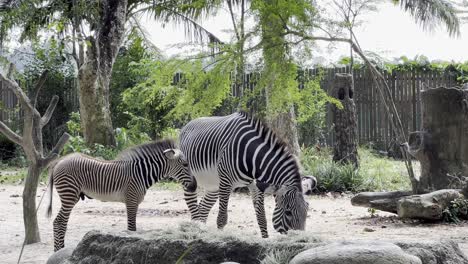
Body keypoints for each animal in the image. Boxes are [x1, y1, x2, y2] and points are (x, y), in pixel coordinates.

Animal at [45, 139, 196, 251]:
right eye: (185, 164)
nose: (194, 186)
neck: (141, 173)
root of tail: (59, 161)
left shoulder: (133, 202)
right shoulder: (131, 201)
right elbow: (132, 228)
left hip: (72, 196)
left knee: (61, 222)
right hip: (69, 194)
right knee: (59, 222)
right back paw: (58, 250)